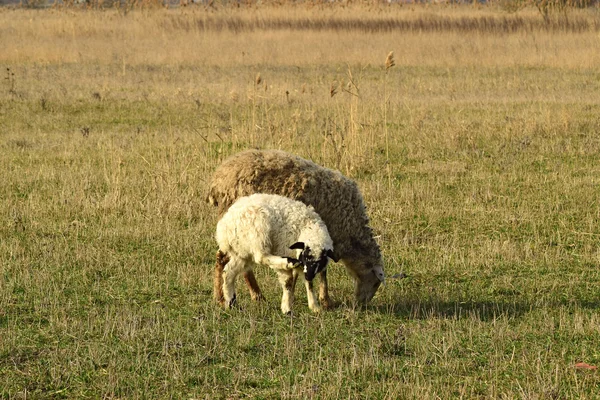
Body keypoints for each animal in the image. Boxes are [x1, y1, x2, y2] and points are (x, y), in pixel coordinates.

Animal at [206, 148, 384, 308]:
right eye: (376, 283)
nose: (361, 305)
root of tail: (217, 180)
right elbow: (321, 272)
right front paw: (324, 300)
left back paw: (249, 295)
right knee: (225, 258)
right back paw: (225, 297)